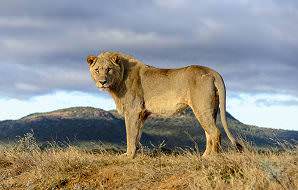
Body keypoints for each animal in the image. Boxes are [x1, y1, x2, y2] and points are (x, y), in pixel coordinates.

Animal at [85, 51, 242, 158]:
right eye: (97, 69)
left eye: (108, 69)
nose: (102, 82)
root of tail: (213, 71)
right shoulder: (142, 113)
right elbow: (137, 136)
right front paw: (135, 154)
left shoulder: (133, 110)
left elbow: (130, 135)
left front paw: (128, 156)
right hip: (211, 109)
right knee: (209, 133)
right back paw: (204, 156)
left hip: (201, 107)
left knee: (215, 132)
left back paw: (212, 158)